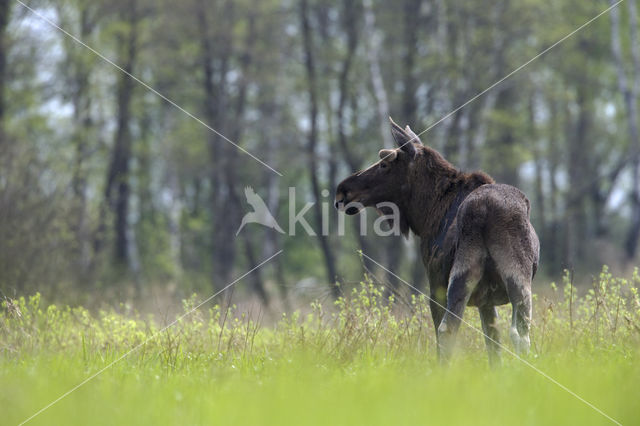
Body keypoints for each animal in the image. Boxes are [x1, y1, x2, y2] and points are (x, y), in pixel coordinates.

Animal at [336, 118, 540, 364]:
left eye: (384, 163)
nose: (342, 190)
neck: (427, 213)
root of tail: (485, 210)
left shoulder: (435, 283)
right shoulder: (487, 300)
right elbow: (494, 345)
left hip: (459, 275)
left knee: (447, 330)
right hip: (518, 277)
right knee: (521, 334)